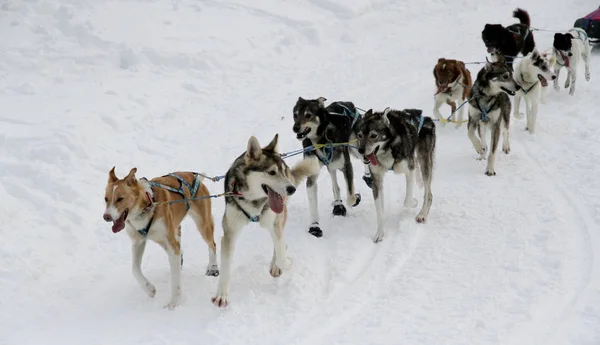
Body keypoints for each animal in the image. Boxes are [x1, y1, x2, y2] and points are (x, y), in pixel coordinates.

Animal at [102, 166, 218, 306]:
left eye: (120, 198)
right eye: (106, 199)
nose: (106, 217)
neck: (147, 206)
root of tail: (196, 178)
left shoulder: (170, 242)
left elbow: (175, 280)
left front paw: (174, 303)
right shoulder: (138, 242)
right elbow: (134, 269)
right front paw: (149, 289)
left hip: (202, 225)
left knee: (212, 244)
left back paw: (213, 267)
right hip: (167, 235)